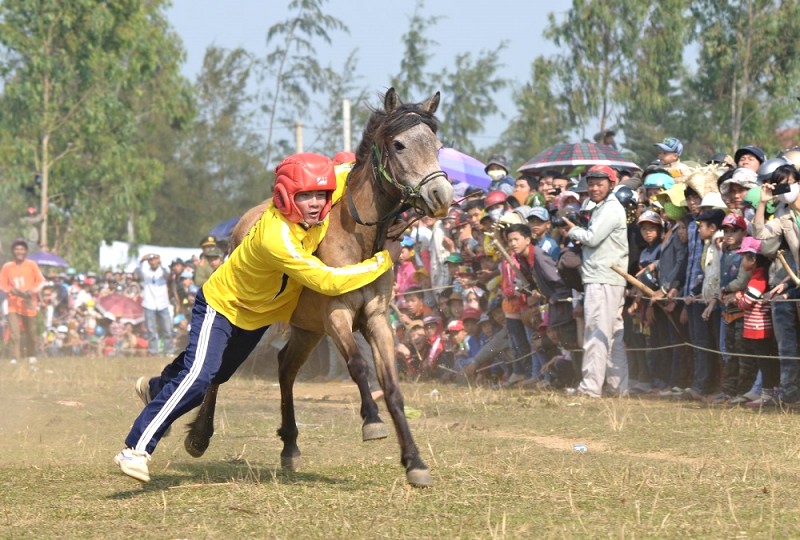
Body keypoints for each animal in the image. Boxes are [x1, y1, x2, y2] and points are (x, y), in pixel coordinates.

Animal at [184, 87, 454, 486]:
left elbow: (391, 387)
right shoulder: (337, 315)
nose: (441, 195)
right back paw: (200, 436)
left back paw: (290, 445)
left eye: (437, 145)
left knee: (285, 366)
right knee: (219, 367)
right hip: (251, 320)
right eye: (400, 144)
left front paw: (415, 462)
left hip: (307, 329)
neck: (357, 238)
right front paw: (371, 422)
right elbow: (358, 366)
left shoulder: (375, 319)